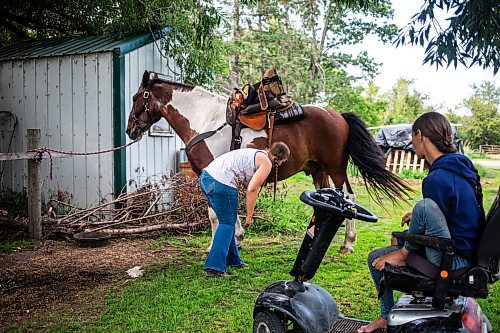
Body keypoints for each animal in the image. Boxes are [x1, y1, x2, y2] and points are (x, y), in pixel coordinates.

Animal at [126, 70, 410, 252]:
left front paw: (224, 243)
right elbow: (221, 211)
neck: (205, 121)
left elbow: (216, 213)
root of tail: (337, 115)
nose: (130, 130)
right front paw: (233, 240)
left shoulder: (214, 174)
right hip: (319, 171)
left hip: (335, 167)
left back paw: (347, 243)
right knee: (329, 198)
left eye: (136, 97)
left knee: (349, 199)